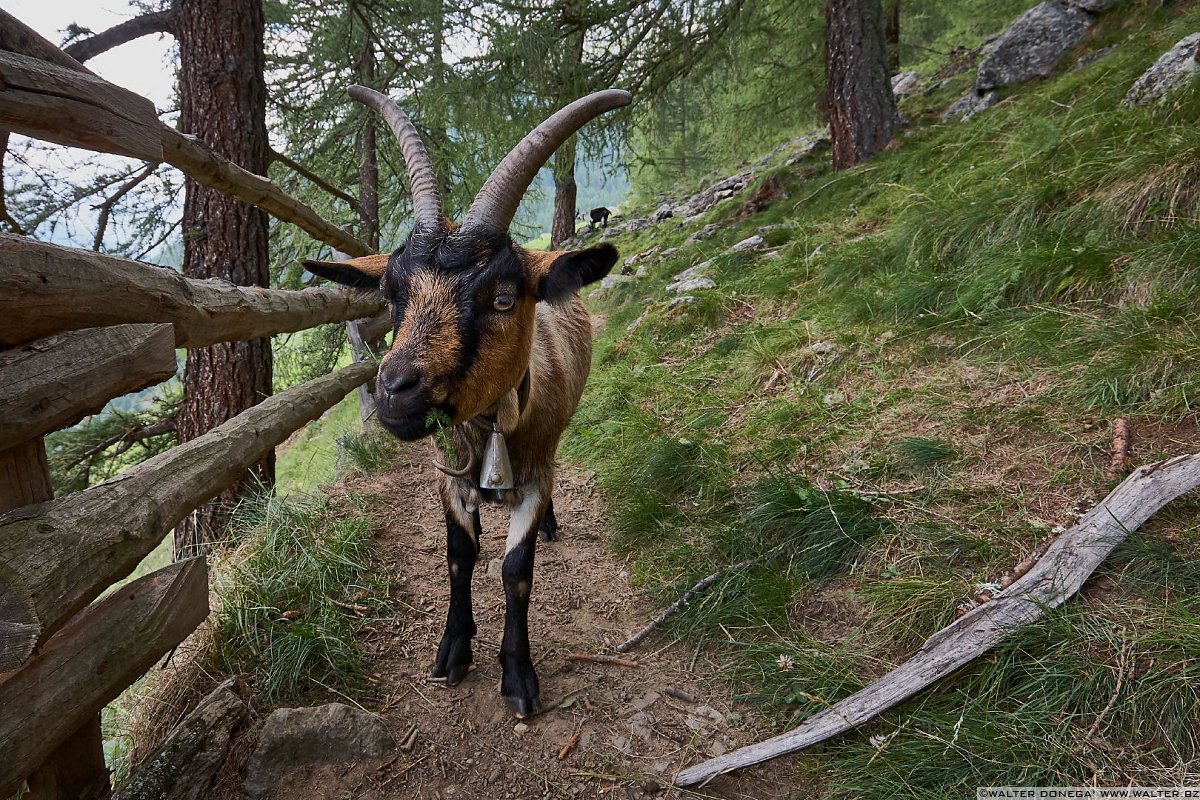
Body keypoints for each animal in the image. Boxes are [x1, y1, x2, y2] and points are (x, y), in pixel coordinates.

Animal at [302, 84, 628, 714]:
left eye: (503, 297)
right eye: (393, 293)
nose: (394, 392)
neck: (494, 427)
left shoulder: (533, 473)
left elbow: (515, 569)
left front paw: (518, 676)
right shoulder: (447, 477)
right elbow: (459, 557)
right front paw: (453, 649)